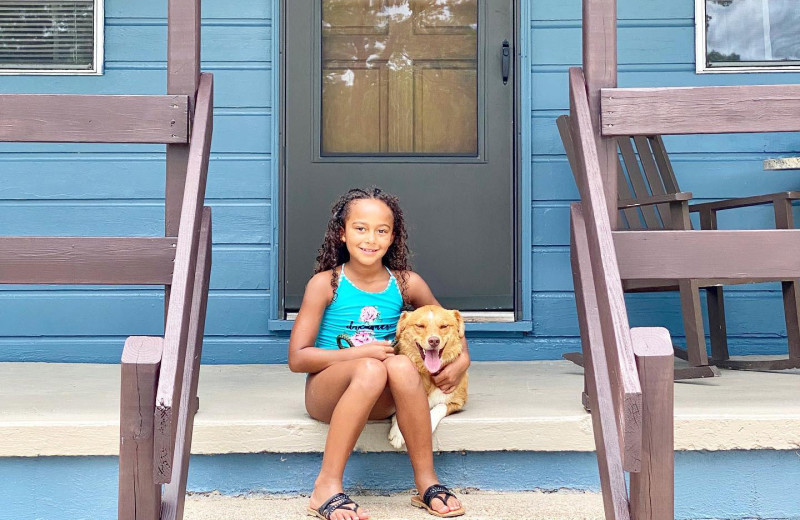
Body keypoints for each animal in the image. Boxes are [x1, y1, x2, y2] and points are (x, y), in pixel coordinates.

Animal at [390, 304, 468, 446]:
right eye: (420, 326)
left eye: (444, 326)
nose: (434, 341)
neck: (429, 374)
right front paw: (398, 432)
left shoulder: (458, 402)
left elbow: (439, 406)